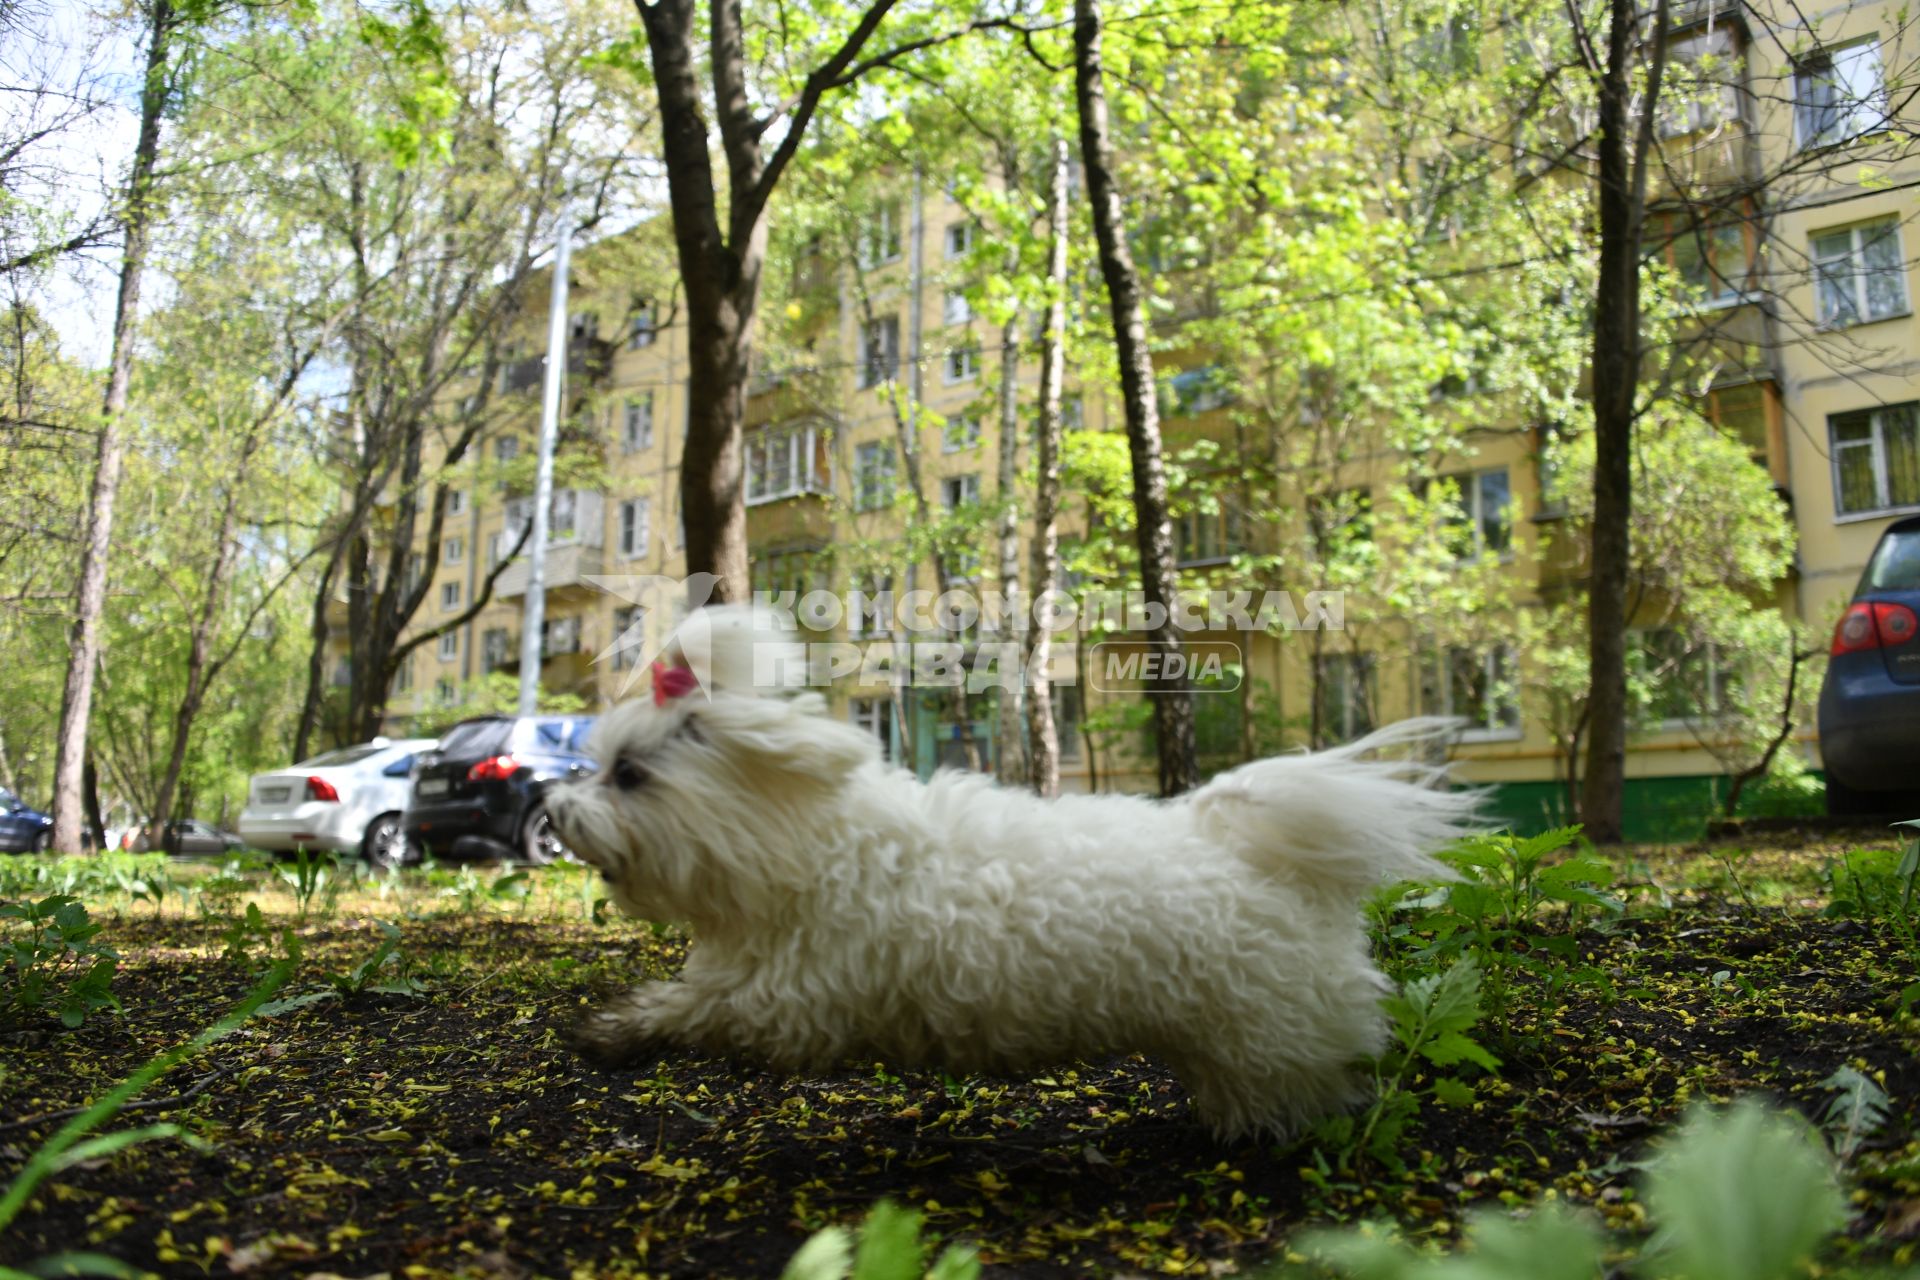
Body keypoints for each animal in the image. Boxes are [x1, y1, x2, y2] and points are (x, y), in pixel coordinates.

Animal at [549, 610, 1474, 1143]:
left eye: (628, 774)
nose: (554, 813)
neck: (812, 845)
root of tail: (1260, 849)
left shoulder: (797, 995)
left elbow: (699, 1007)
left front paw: (616, 1029)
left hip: (1263, 1035)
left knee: (1308, 1089)